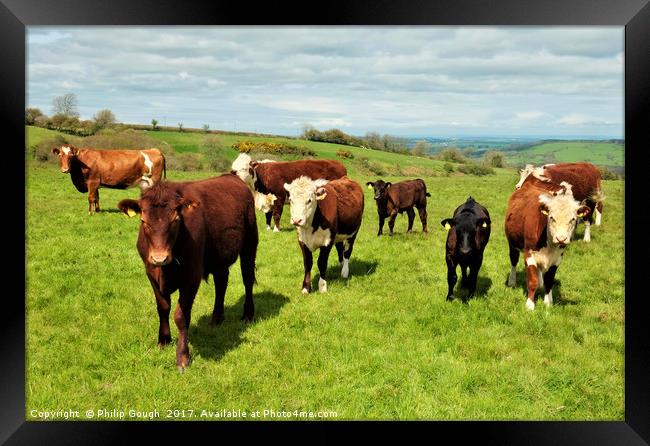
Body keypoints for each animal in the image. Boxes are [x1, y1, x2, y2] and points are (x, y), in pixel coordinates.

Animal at [116, 172, 258, 372]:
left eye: (176, 220)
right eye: (143, 221)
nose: (159, 258)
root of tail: (232, 175)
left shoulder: (191, 277)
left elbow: (181, 316)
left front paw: (182, 357)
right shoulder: (151, 273)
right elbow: (163, 308)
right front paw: (163, 341)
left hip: (250, 244)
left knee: (247, 278)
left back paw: (247, 315)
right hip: (219, 255)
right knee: (221, 282)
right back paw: (217, 318)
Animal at [504, 179, 588, 310]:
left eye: (573, 219)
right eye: (551, 218)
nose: (561, 238)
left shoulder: (557, 259)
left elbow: (549, 280)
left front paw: (548, 302)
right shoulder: (529, 254)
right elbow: (532, 281)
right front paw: (530, 305)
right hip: (512, 243)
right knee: (513, 260)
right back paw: (512, 281)